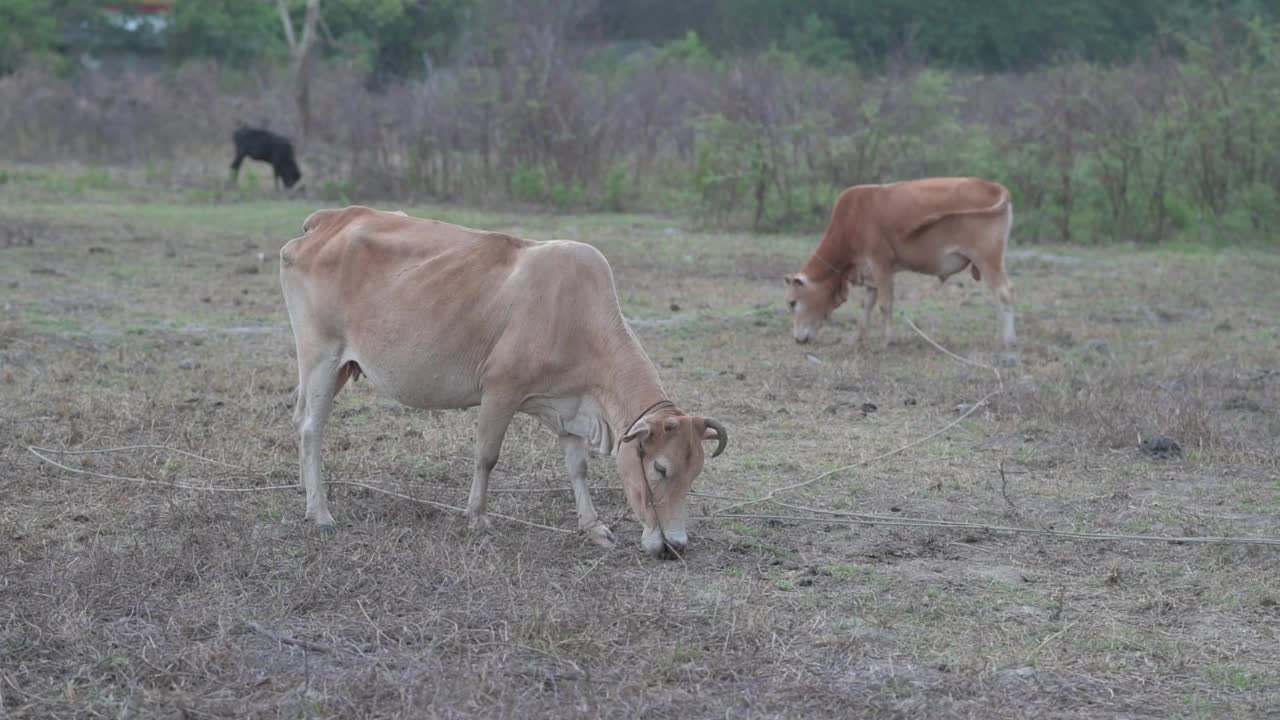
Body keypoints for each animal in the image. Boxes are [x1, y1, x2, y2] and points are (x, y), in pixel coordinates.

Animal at [281, 206, 732, 556]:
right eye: (660, 468)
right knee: (311, 429)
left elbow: (578, 467)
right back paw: (320, 513)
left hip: (339, 366)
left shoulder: (569, 405)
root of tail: (328, 220)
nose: (675, 546)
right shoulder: (500, 391)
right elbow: (487, 456)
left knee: (300, 419)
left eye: (695, 473)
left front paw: (593, 527)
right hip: (320, 356)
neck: (577, 316)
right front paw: (478, 518)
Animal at [783, 176, 1013, 351]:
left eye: (792, 302)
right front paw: (857, 339)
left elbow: (885, 304)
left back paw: (1007, 341)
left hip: (988, 258)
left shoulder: (881, 263)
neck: (851, 219)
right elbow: (867, 305)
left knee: (1003, 294)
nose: (797, 339)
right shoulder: (870, 272)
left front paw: (888, 341)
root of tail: (991, 185)